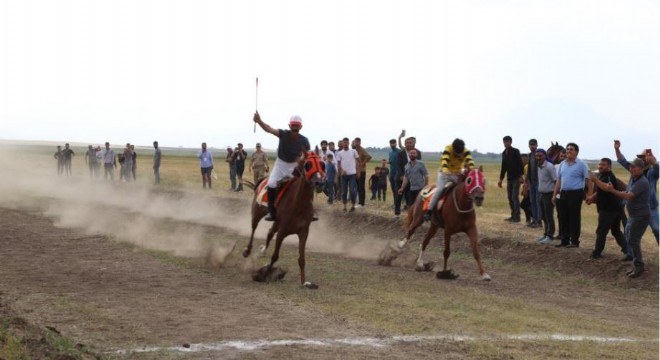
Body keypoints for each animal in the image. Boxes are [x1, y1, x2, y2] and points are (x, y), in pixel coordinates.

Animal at [241, 150, 326, 288]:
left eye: (322, 164)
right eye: (308, 165)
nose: (320, 183)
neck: (298, 204)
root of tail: (263, 180)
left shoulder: (304, 232)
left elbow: (301, 259)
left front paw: (304, 281)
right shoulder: (282, 231)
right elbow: (275, 256)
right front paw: (264, 274)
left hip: (275, 222)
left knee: (270, 232)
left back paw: (263, 250)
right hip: (257, 212)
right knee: (254, 228)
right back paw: (247, 251)